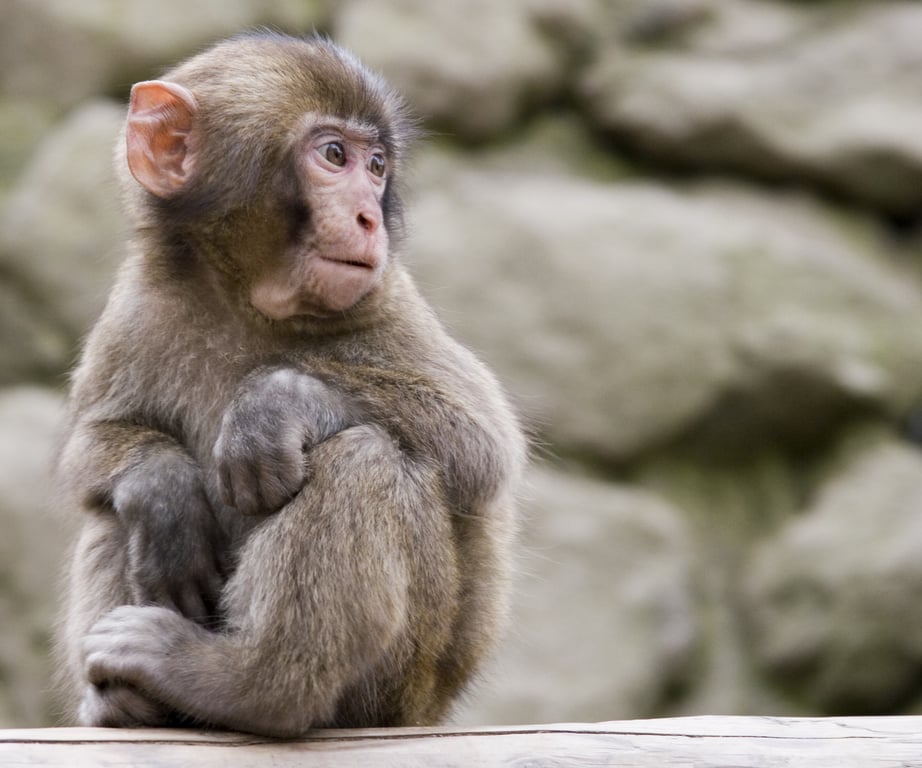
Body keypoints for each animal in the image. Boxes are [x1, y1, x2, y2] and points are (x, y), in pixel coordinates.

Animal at [53, 32, 526, 737]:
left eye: (376, 165)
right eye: (334, 156)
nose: (368, 217)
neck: (244, 299)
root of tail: (430, 709)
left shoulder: (389, 299)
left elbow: (484, 445)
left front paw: (274, 406)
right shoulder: (135, 308)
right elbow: (91, 446)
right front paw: (162, 489)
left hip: (396, 687)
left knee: (365, 456)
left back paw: (249, 685)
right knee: (111, 510)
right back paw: (129, 700)